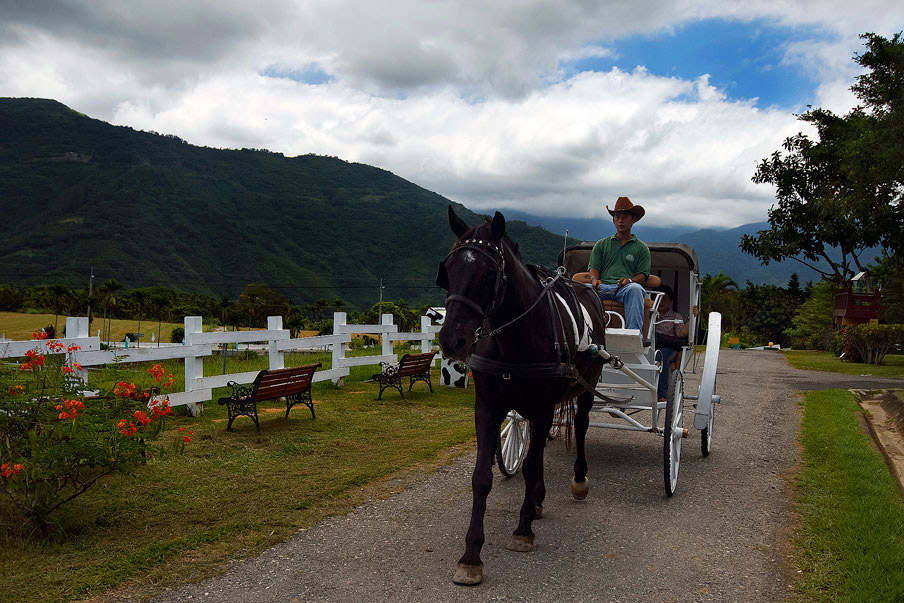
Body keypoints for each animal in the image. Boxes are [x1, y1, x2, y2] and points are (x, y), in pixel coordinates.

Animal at [436, 208, 608, 584]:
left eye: (489, 274)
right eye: (448, 270)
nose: (451, 339)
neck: (516, 336)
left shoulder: (542, 407)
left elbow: (530, 466)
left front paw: (523, 530)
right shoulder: (487, 408)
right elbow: (482, 478)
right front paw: (471, 555)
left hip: (587, 383)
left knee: (581, 426)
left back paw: (577, 480)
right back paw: (538, 500)